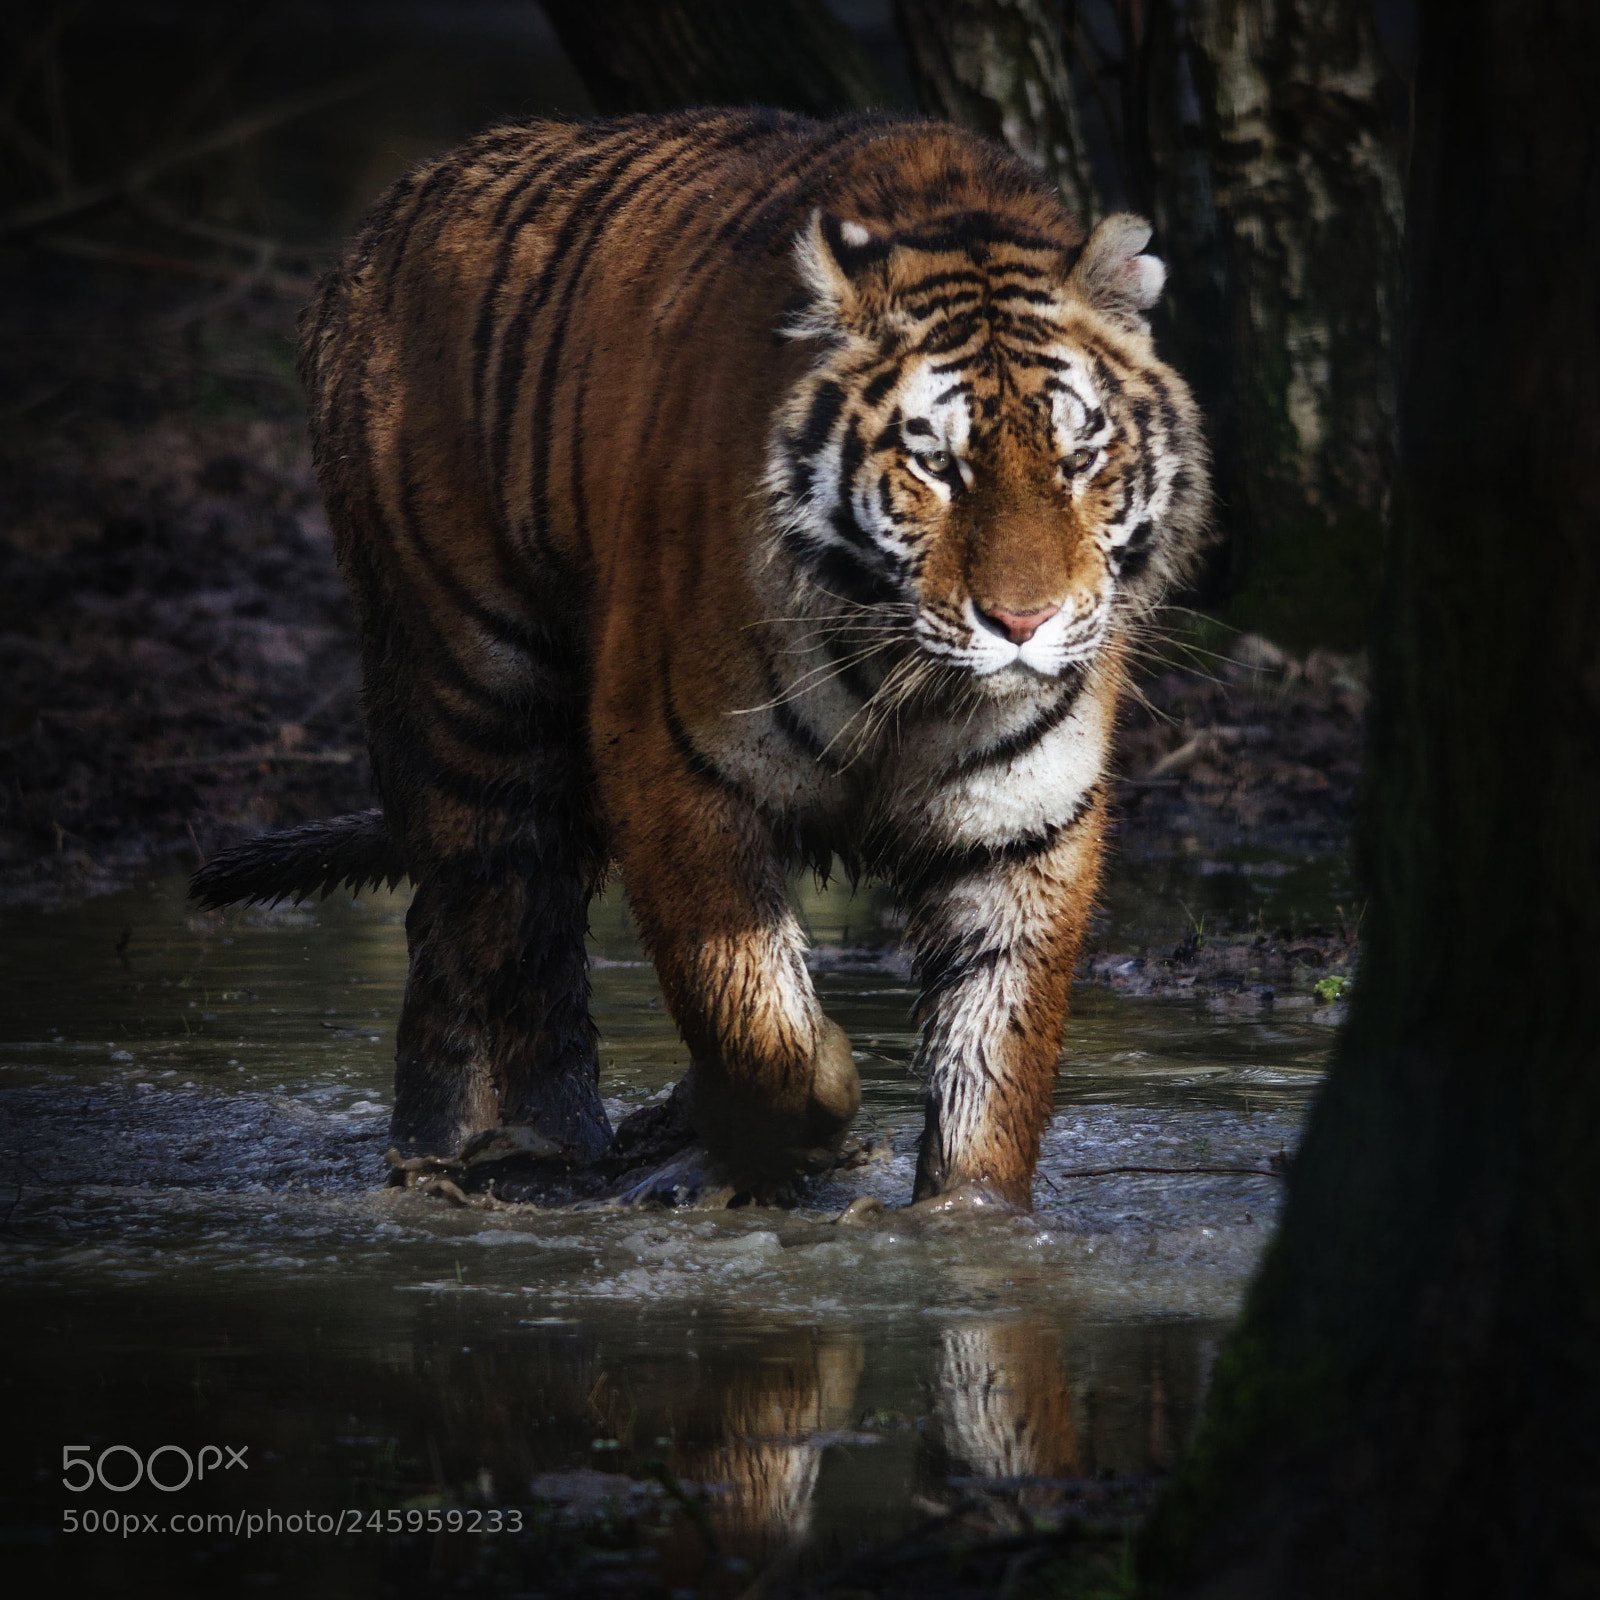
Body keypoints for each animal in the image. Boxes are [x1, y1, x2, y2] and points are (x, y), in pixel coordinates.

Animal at [192, 109, 1208, 1211]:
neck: (904, 679)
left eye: (1079, 459)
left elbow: (995, 1056)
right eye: (935, 463)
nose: (1023, 622)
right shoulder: (674, 762)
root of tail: (386, 214)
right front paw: (793, 1109)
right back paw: (494, 1147)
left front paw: (966, 1217)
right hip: (470, 688)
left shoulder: (1023, 821)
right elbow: (758, 1020)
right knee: (489, 925)